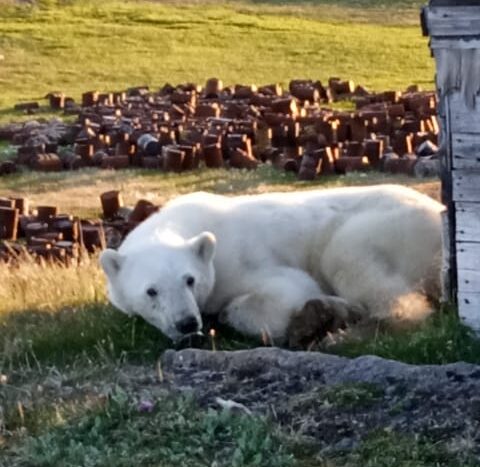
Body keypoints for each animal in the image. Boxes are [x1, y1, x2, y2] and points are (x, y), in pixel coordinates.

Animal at [99, 186, 444, 344]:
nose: (186, 323)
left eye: (190, 280)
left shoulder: (239, 260)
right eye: (151, 291)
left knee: (351, 261)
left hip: (386, 227)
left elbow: (286, 289)